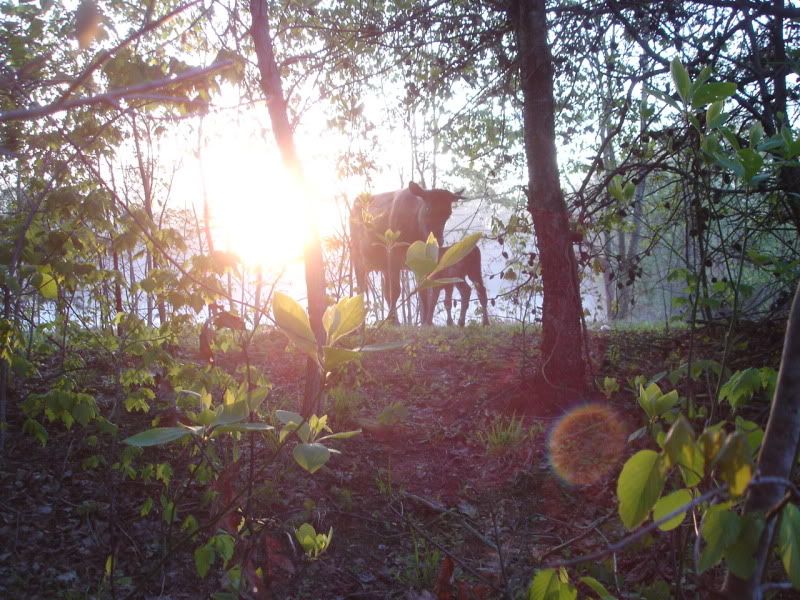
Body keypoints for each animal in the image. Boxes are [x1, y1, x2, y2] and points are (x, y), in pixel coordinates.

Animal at [350, 181, 463, 323]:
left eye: (448, 213)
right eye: (427, 209)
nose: (438, 240)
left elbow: (423, 291)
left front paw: (426, 322)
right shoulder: (393, 255)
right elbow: (396, 291)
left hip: (384, 267)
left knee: (385, 292)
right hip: (358, 258)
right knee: (362, 289)